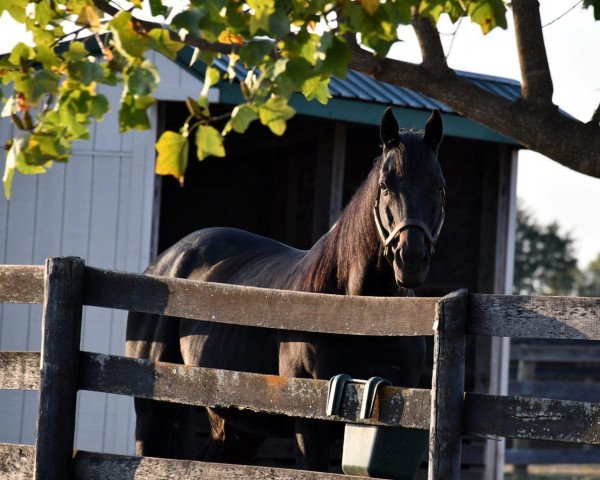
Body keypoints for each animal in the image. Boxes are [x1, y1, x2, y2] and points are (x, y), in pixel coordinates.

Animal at [126, 108, 446, 472]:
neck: (360, 314)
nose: (411, 259)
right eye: (385, 186)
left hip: (239, 427)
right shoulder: (309, 426)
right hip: (153, 414)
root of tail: (164, 263)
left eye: (439, 187)